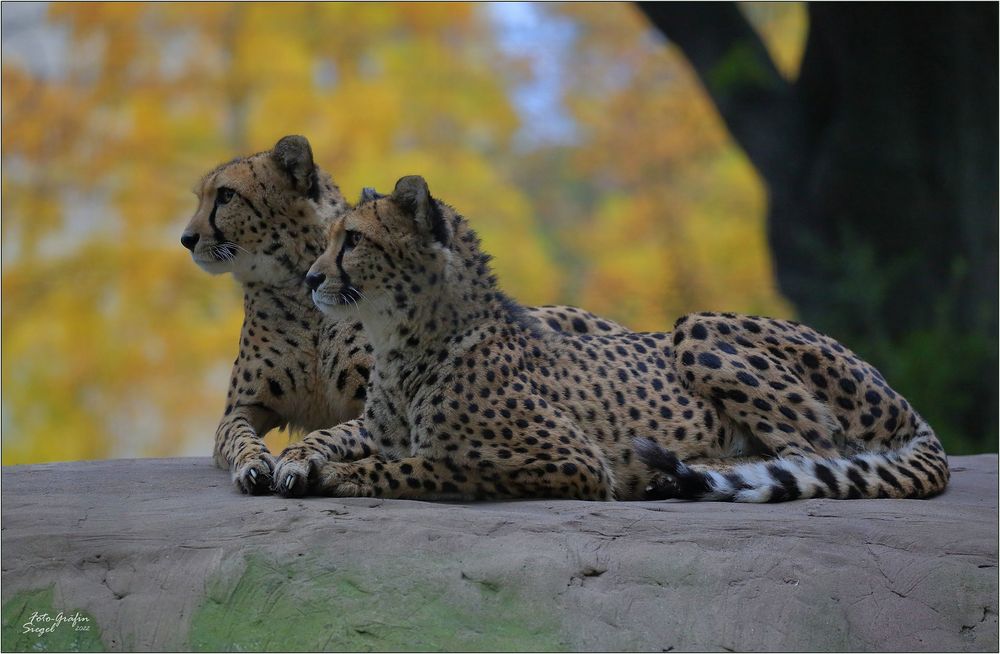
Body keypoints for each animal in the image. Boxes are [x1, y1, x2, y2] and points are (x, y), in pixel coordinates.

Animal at [180, 140, 624, 498]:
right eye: (201, 197)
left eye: (226, 195)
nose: (186, 238)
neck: (296, 290)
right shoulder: (243, 406)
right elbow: (237, 436)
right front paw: (254, 463)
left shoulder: (372, 406)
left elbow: (335, 431)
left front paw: (300, 458)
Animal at [292, 174, 952, 502]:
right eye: (328, 239)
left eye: (352, 240)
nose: (311, 278)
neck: (401, 342)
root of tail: (907, 408)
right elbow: (358, 443)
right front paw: (302, 463)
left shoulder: (568, 459)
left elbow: (432, 466)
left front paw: (342, 476)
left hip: (696, 325)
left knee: (816, 453)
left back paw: (683, 474)